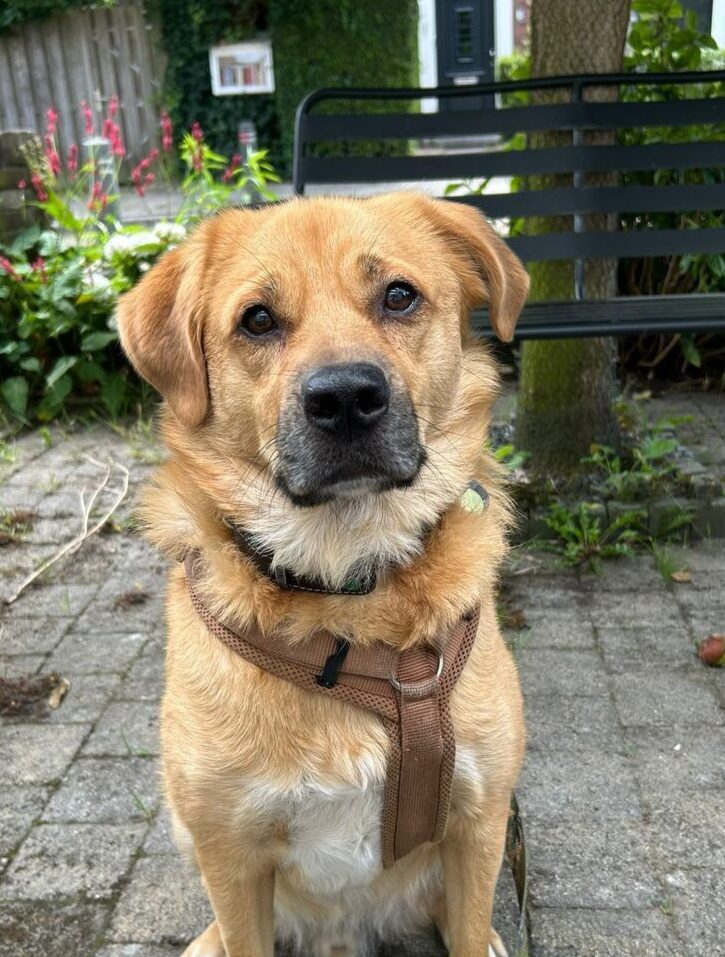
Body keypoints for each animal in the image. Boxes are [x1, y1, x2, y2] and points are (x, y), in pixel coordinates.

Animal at [117, 192, 529, 957]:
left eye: (398, 296)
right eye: (257, 319)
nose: (344, 398)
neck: (345, 590)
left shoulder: (480, 820)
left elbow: (467, 918)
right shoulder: (231, 857)